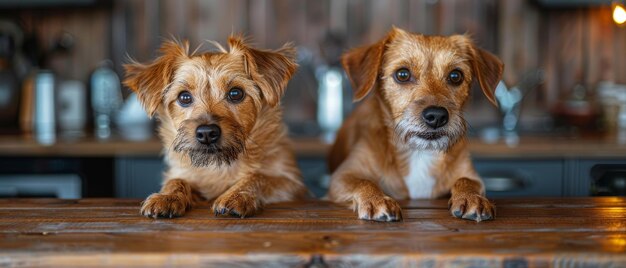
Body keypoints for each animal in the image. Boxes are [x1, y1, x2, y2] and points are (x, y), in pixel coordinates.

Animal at [122, 35, 308, 219]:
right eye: (184, 97)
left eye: (236, 93)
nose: (206, 133)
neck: (219, 166)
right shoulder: (186, 176)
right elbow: (176, 180)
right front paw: (167, 196)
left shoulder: (293, 185)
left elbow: (259, 176)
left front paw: (237, 195)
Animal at [326, 27, 502, 223]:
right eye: (402, 74)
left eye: (456, 76)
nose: (437, 116)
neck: (419, 152)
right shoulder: (342, 176)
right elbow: (364, 181)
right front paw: (376, 199)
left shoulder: (473, 176)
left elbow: (466, 181)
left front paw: (472, 197)